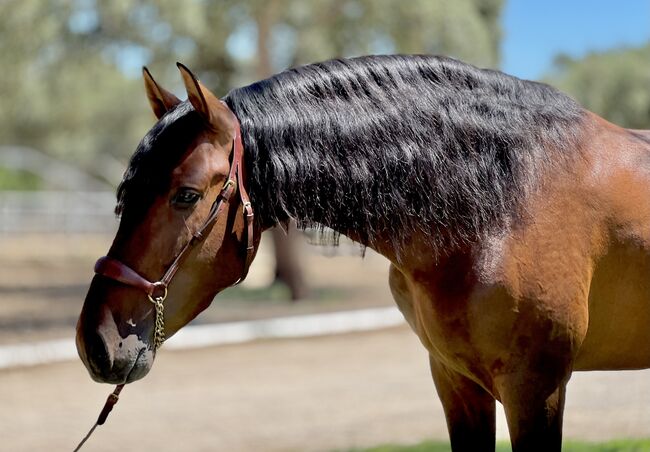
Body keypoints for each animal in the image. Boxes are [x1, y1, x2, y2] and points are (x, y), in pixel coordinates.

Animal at [73, 54, 648, 450]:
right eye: (126, 193)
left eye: (186, 195)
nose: (96, 343)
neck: (501, 204)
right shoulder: (457, 382)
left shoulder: (536, 389)